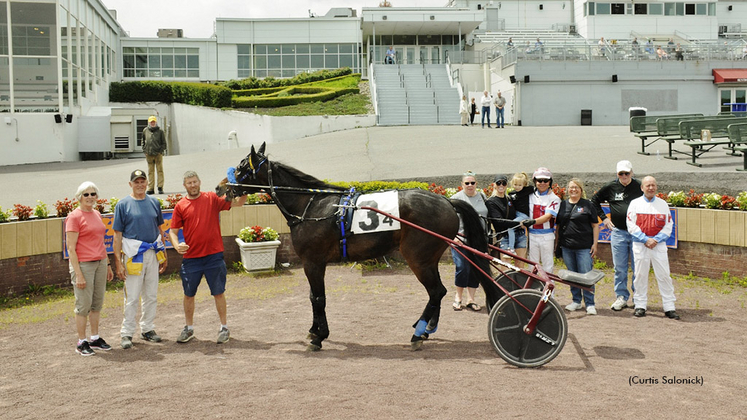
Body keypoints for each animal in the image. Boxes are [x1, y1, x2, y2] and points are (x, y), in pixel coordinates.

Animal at [219, 144, 506, 352]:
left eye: (243, 167)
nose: (220, 187)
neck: (311, 206)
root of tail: (446, 201)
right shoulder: (315, 262)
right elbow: (314, 297)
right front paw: (314, 331)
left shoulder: (313, 261)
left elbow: (318, 298)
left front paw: (319, 336)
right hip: (428, 257)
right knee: (438, 292)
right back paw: (424, 328)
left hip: (417, 257)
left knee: (437, 291)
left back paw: (417, 334)